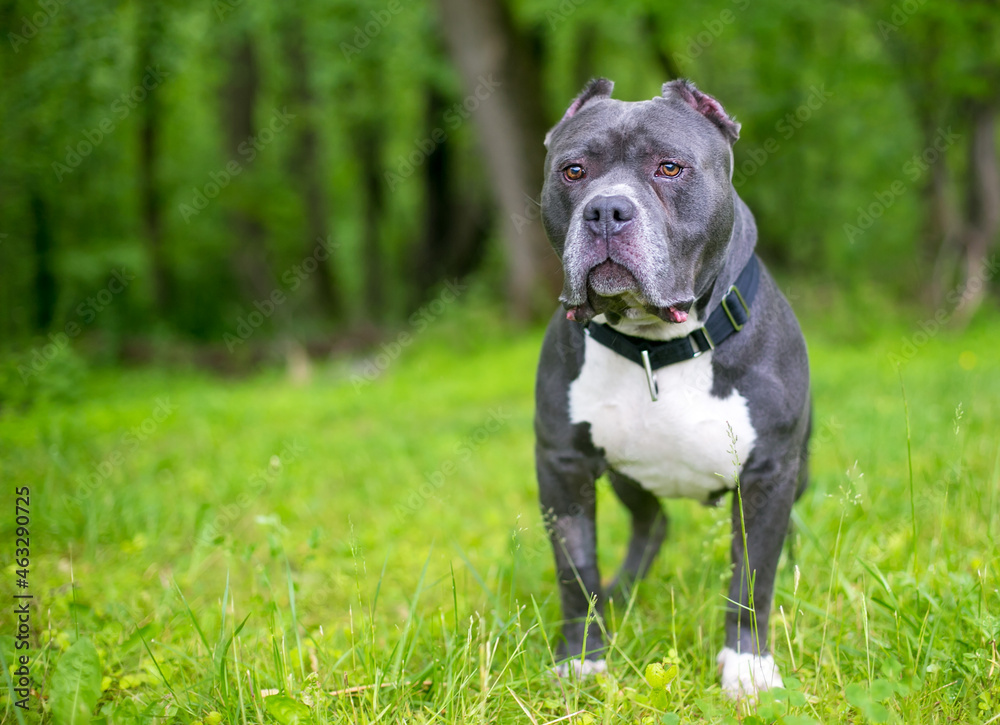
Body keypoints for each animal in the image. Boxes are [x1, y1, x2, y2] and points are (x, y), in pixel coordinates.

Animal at [536, 76, 808, 700]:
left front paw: (747, 666)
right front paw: (582, 659)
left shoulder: (769, 472)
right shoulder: (563, 465)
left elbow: (753, 575)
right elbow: (574, 571)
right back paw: (623, 591)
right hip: (626, 477)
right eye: (573, 171)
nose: (606, 210)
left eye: (669, 168)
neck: (655, 348)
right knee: (651, 523)